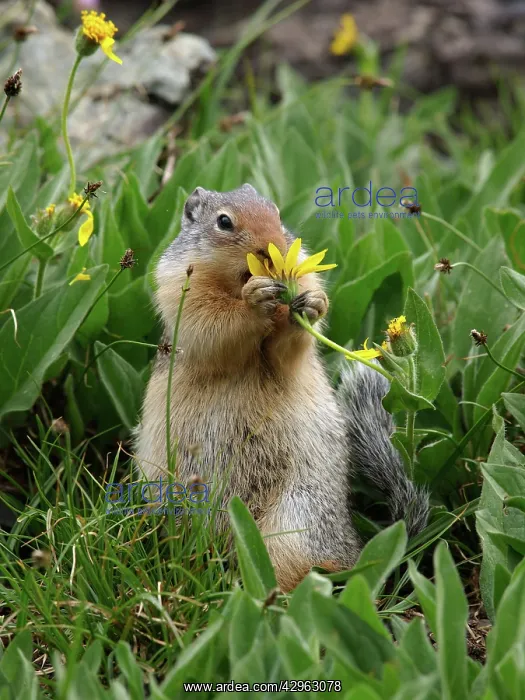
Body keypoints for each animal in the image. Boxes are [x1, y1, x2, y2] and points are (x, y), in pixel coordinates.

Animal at [134, 183, 429, 591]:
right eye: (223, 221)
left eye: (276, 214)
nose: (271, 246)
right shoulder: (182, 287)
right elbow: (209, 324)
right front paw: (254, 300)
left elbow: (289, 351)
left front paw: (311, 305)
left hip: (298, 520)